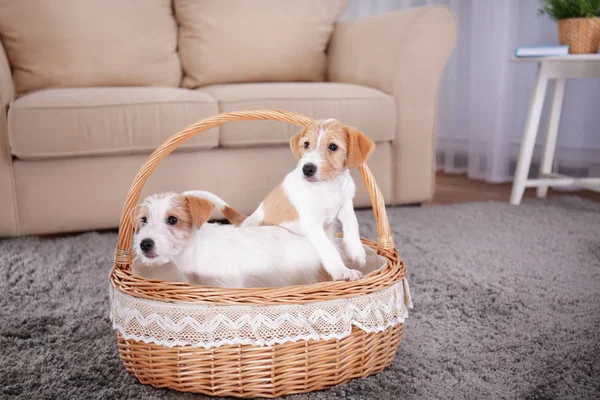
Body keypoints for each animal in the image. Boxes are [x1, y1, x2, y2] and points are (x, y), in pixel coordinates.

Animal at [236, 118, 372, 282]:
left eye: (333, 146)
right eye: (306, 144)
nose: (307, 169)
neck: (328, 185)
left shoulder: (346, 205)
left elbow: (352, 224)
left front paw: (356, 252)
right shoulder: (311, 223)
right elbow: (328, 248)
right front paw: (342, 270)